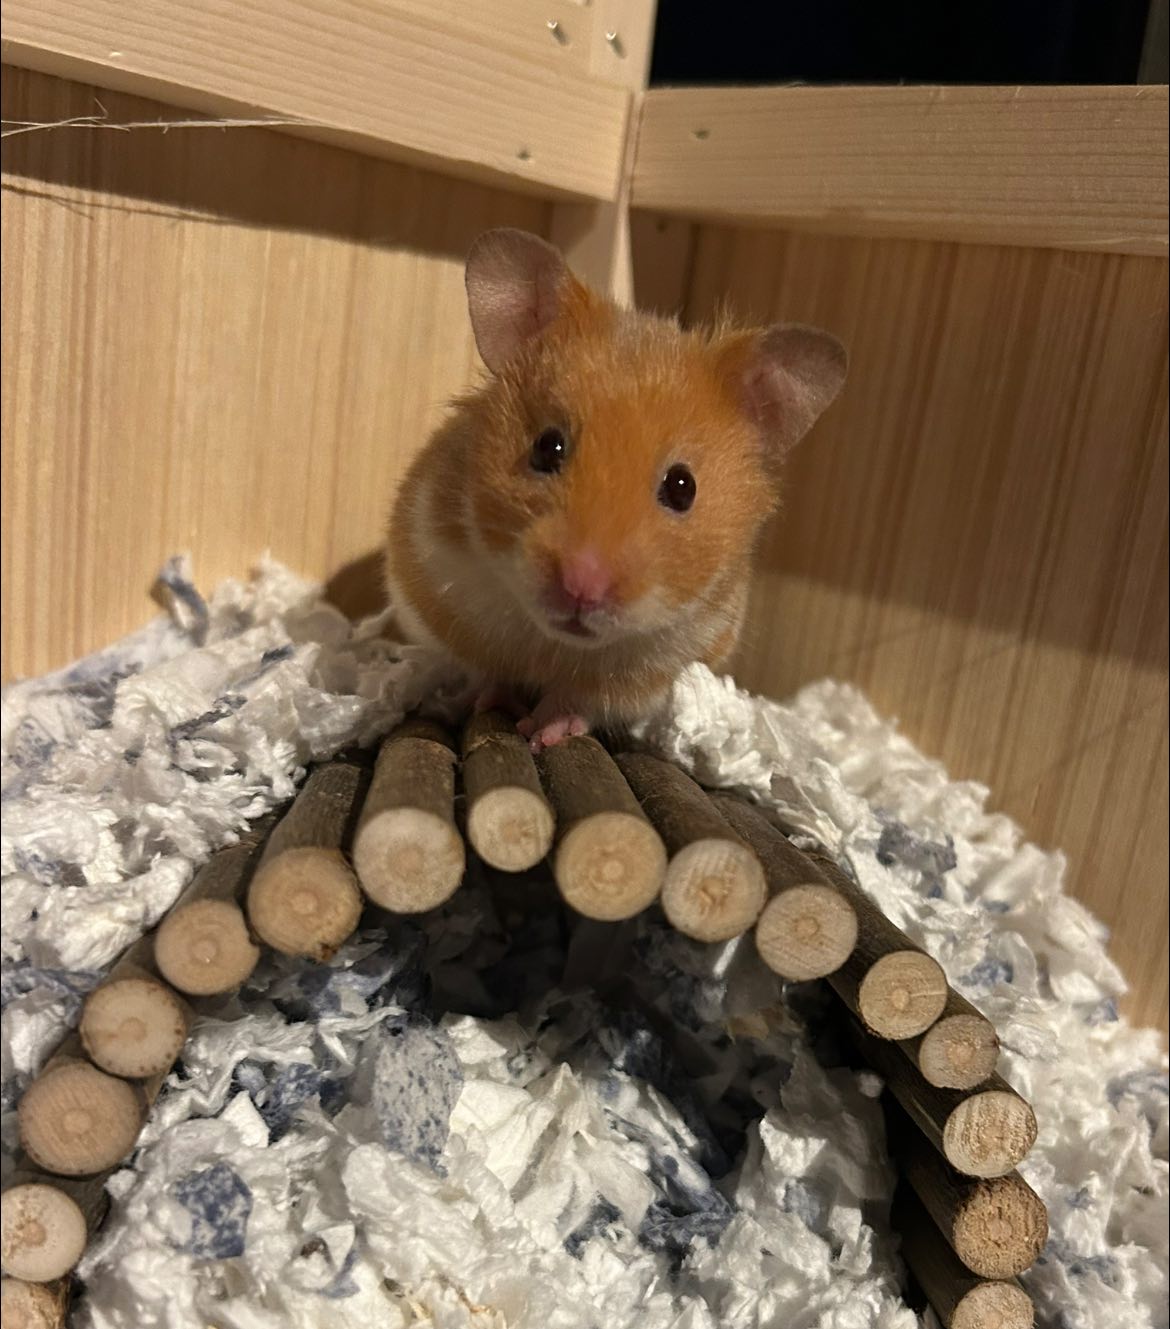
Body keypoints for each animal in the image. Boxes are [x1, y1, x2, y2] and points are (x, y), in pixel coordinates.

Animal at [386, 228, 846, 752]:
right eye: (546, 447)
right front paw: (495, 706)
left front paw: (543, 733)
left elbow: (580, 699)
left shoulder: (656, 668)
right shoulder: (435, 589)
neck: (552, 641)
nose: (581, 587)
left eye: (683, 487)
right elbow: (487, 671)